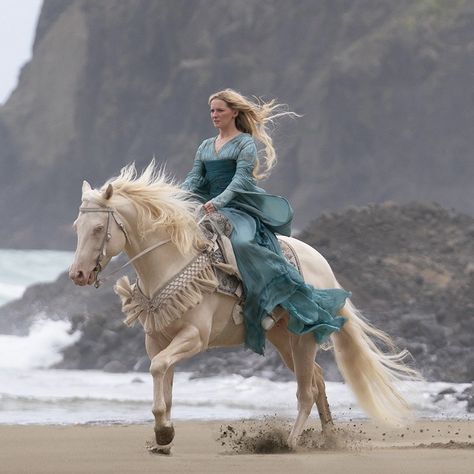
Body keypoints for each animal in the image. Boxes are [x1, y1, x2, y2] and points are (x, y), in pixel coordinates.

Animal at [69, 163, 418, 452]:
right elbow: (163, 382)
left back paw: (290, 442)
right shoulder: (157, 339)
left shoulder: (194, 337)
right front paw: (162, 437)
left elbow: (158, 369)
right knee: (317, 380)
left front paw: (164, 432)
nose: (79, 274)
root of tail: (322, 264)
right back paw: (329, 436)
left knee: (306, 389)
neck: (170, 262)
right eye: (76, 226)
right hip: (282, 339)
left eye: (98, 229)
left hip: (303, 337)